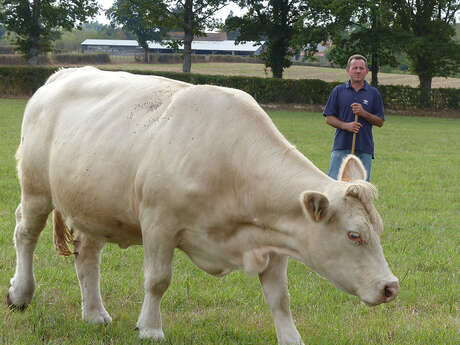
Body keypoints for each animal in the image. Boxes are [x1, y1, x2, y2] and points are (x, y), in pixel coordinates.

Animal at [9, 67, 400, 344]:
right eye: (353, 235)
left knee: (87, 256)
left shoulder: (273, 240)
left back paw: (93, 313)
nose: (390, 287)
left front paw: (291, 338)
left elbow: (279, 298)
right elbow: (157, 280)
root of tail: (62, 75)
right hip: (36, 190)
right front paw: (150, 329)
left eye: (378, 230)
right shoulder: (159, 224)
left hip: (94, 205)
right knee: (25, 234)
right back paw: (20, 293)